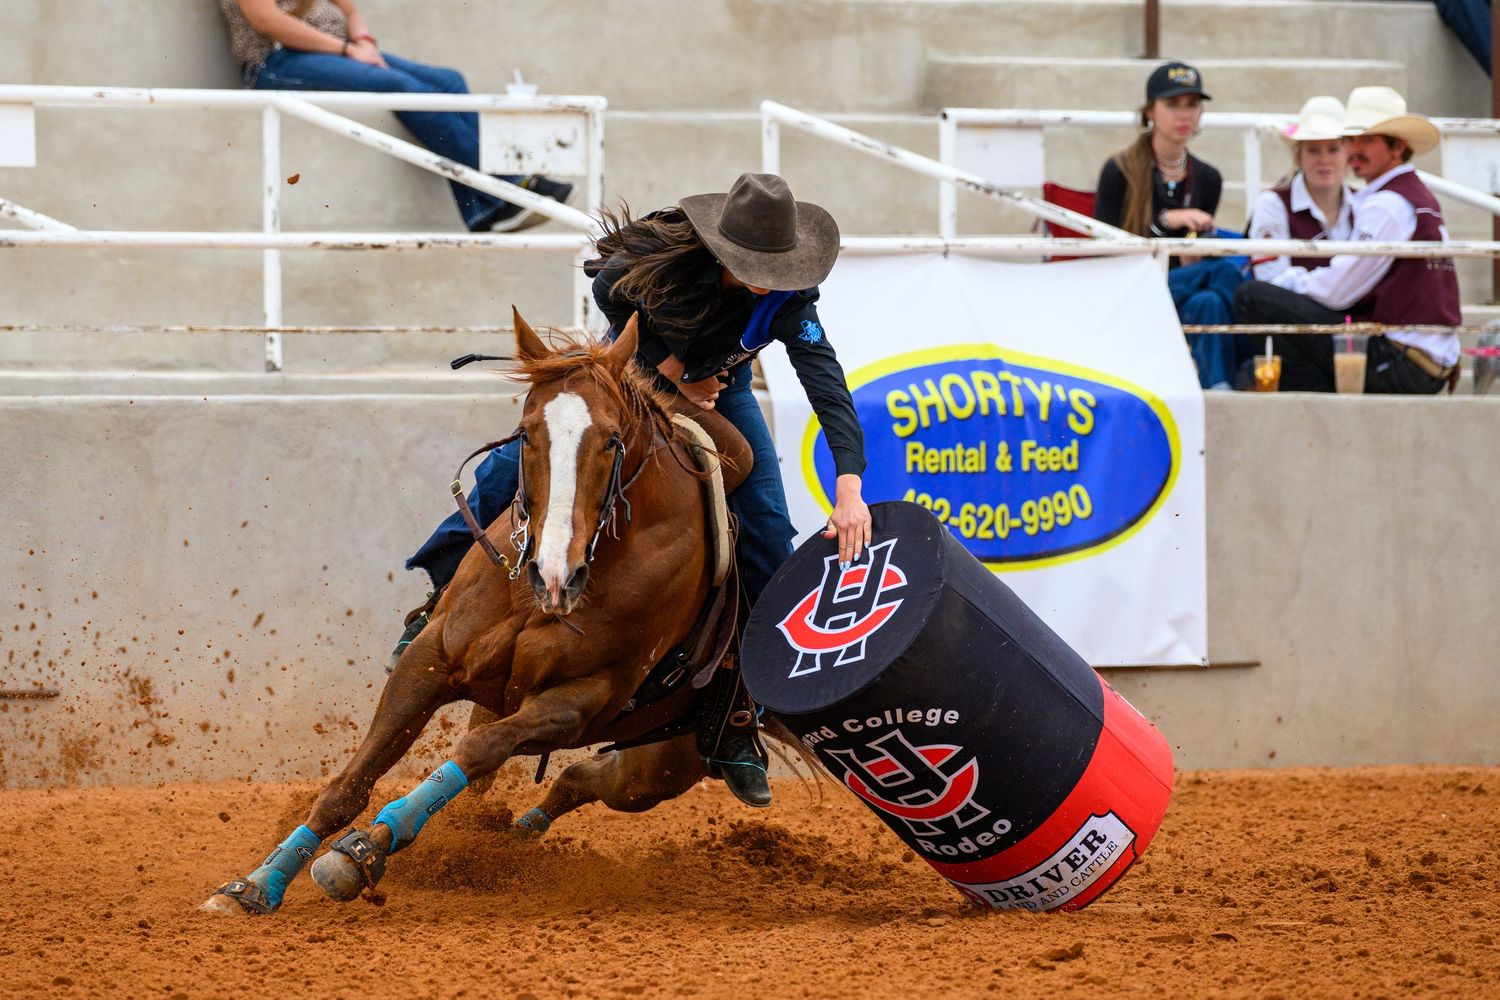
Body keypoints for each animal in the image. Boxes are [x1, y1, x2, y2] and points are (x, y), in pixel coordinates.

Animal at [202, 308, 753, 915]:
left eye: (612, 440)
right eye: (526, 433)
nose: (553, 573)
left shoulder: (580, 702)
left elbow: (477, 750)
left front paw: (361, 851)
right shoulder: (432, 656)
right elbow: (350, 783)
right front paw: (258, 884)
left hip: (666, 761)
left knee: (587, 780)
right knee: (574, 779)